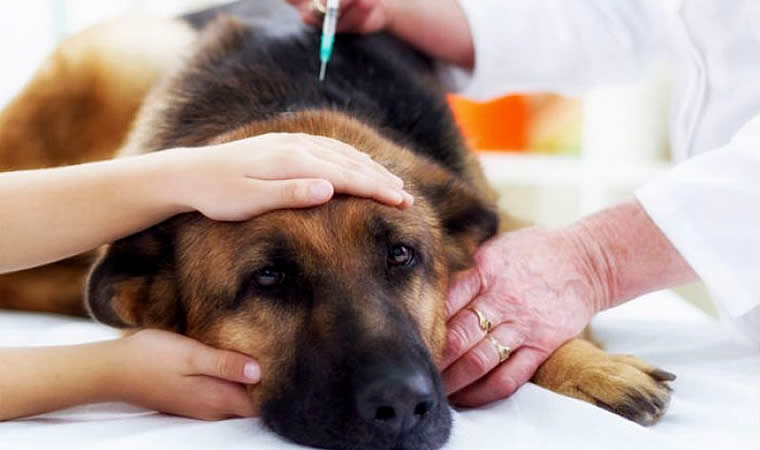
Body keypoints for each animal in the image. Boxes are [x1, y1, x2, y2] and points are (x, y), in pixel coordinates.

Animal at [0, 1, 672, 448]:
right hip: (121, 60)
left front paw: (586, 363)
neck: (294, 100)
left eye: (402, 256)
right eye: (269, 278)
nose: (401, 406)